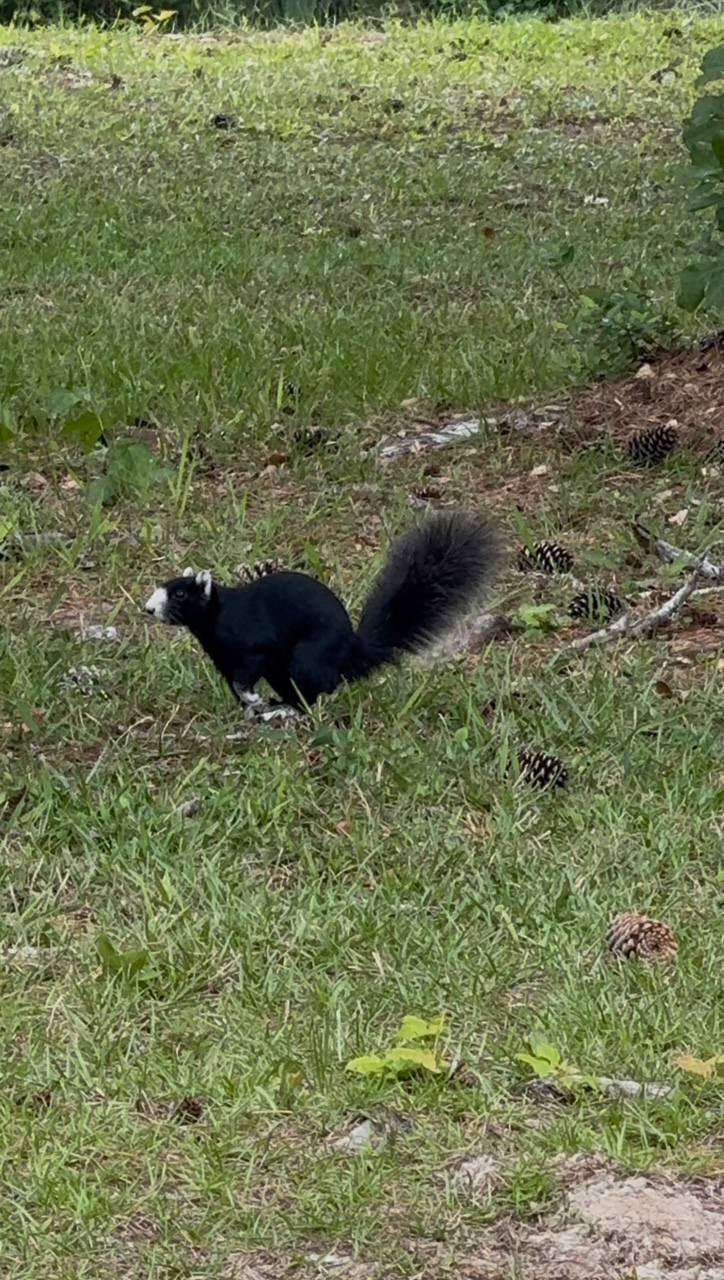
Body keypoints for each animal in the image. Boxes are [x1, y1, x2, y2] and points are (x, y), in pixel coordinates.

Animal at [144, 507, 503, 711]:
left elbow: (247, 673)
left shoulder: (253, 641)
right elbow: (233, 682)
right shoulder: (223, 658)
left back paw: (287, 708)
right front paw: (246, 707)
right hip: (282, 671)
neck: (215, 621)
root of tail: (354, 654)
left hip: (303, 658)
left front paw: (252, 699)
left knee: (311, 693)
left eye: (179, 594)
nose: (149, 608)